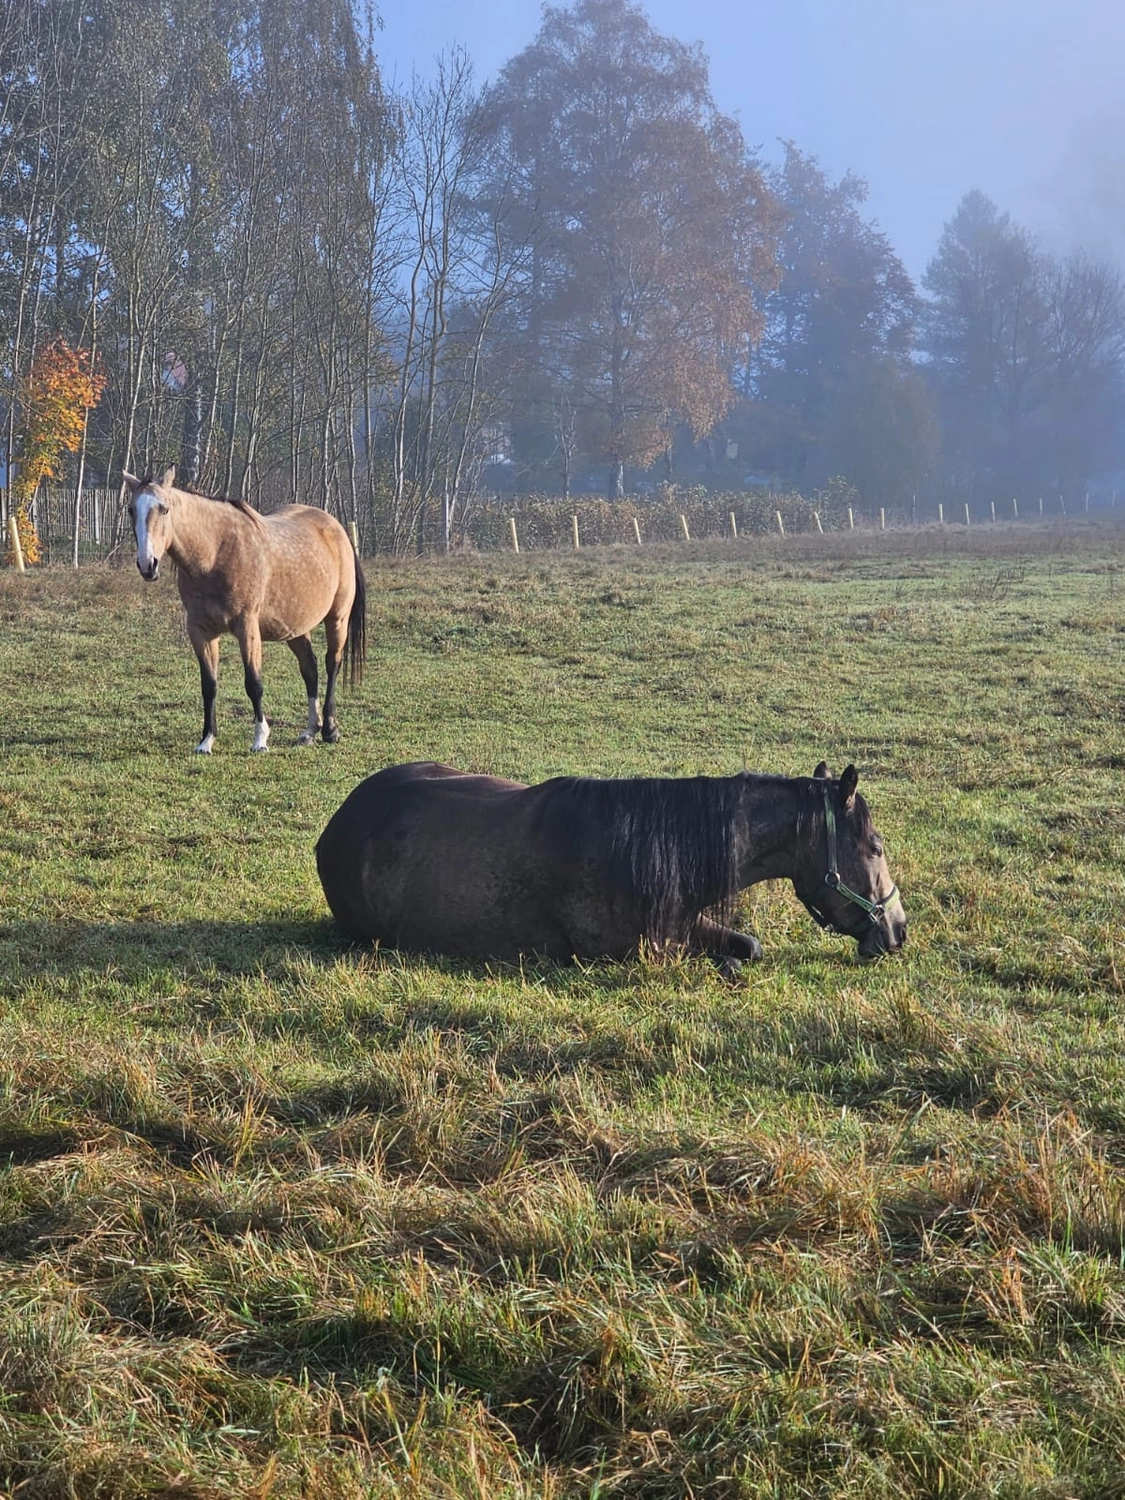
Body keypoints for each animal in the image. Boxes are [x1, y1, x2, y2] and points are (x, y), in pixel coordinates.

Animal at [124, 467, 366, 753]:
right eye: (131, 509)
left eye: (164, 509)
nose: (147, 564)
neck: (216, 553)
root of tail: (336, 528)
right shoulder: (200, 631)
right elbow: (209, 685)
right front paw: (206, 740)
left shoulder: (246, 626)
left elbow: (254, 683)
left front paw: (260, 739)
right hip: (295, 627)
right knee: (310, 669)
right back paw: (309, 730)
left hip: (337, 618)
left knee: (332, 664)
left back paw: (329, 729)